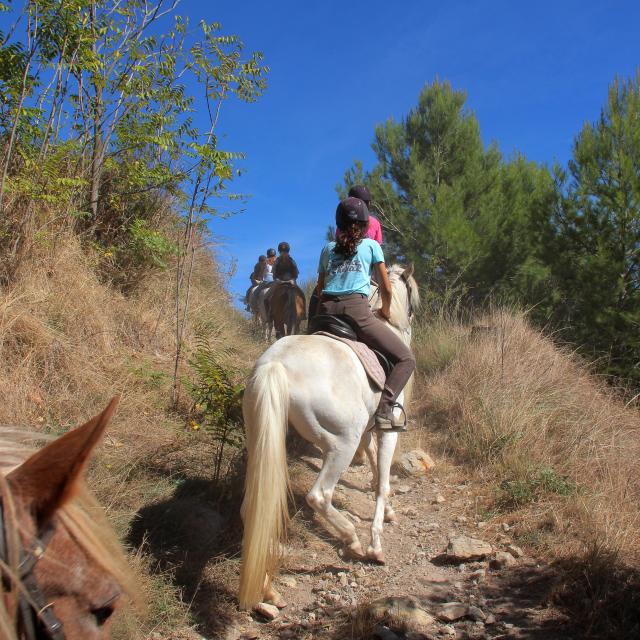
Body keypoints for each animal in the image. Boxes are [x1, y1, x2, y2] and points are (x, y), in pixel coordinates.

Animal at [238, 264, 418, 608]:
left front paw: (387, 514)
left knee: (257, 508)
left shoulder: (369, 430)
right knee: (319, 496)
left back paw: (266, 590)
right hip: (341, 445)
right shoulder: (389, 428)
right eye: (413, 295)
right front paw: (376, 543)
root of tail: (275, 365)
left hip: (264, 441)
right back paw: (353, 539)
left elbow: (374, 465)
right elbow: (384, 481)